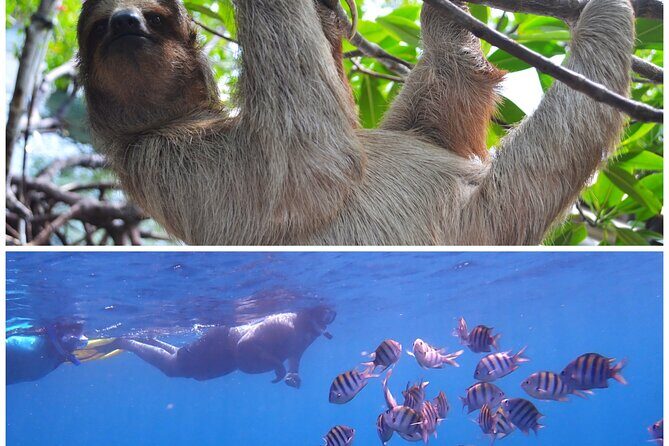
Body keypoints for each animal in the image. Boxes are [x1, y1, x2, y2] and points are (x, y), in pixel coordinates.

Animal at [77, 0, 634, 245]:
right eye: (100, 28)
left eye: (153, 17)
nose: (126, 22)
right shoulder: (169, 160)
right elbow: (311, 165)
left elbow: (428, 127)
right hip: (486, 220)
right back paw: (604, 14)